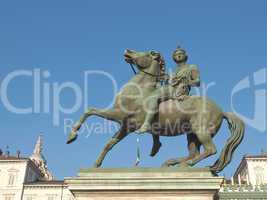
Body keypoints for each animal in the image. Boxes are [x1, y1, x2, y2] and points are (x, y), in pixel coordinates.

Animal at [66, 48, 245, 173]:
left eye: (146, 53)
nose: (127, 51)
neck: (139, 91)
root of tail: (222, 111)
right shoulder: (126, 126)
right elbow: (109, 144)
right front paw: (96, 164)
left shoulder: (118, 115)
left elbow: (90, 110)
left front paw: (72, 135)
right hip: (192, 134)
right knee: (194, 152)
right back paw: (172, 163)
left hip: (201, 130)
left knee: (210, 150)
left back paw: (183, 165)